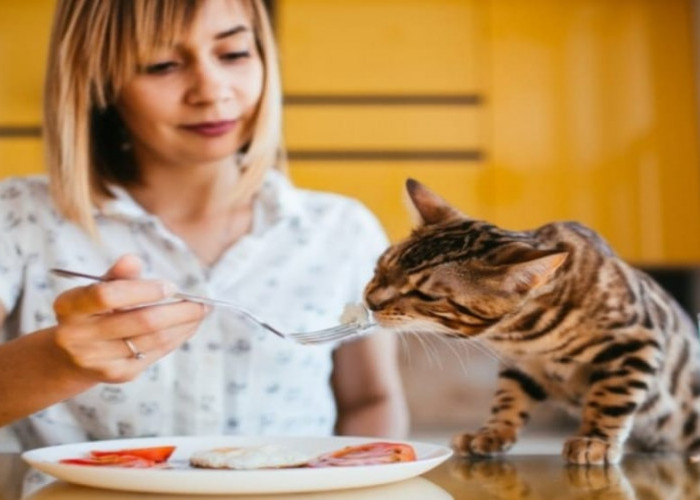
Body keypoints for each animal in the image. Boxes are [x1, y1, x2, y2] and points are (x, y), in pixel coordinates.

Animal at [364, 179, 700, 464]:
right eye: (380, 267)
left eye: (425, 295)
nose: (370, 301)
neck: (521, 335)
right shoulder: (519, 365)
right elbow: (508, 399)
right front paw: (491, 433)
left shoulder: (636, 340)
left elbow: (611, 397)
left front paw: (595, 439)